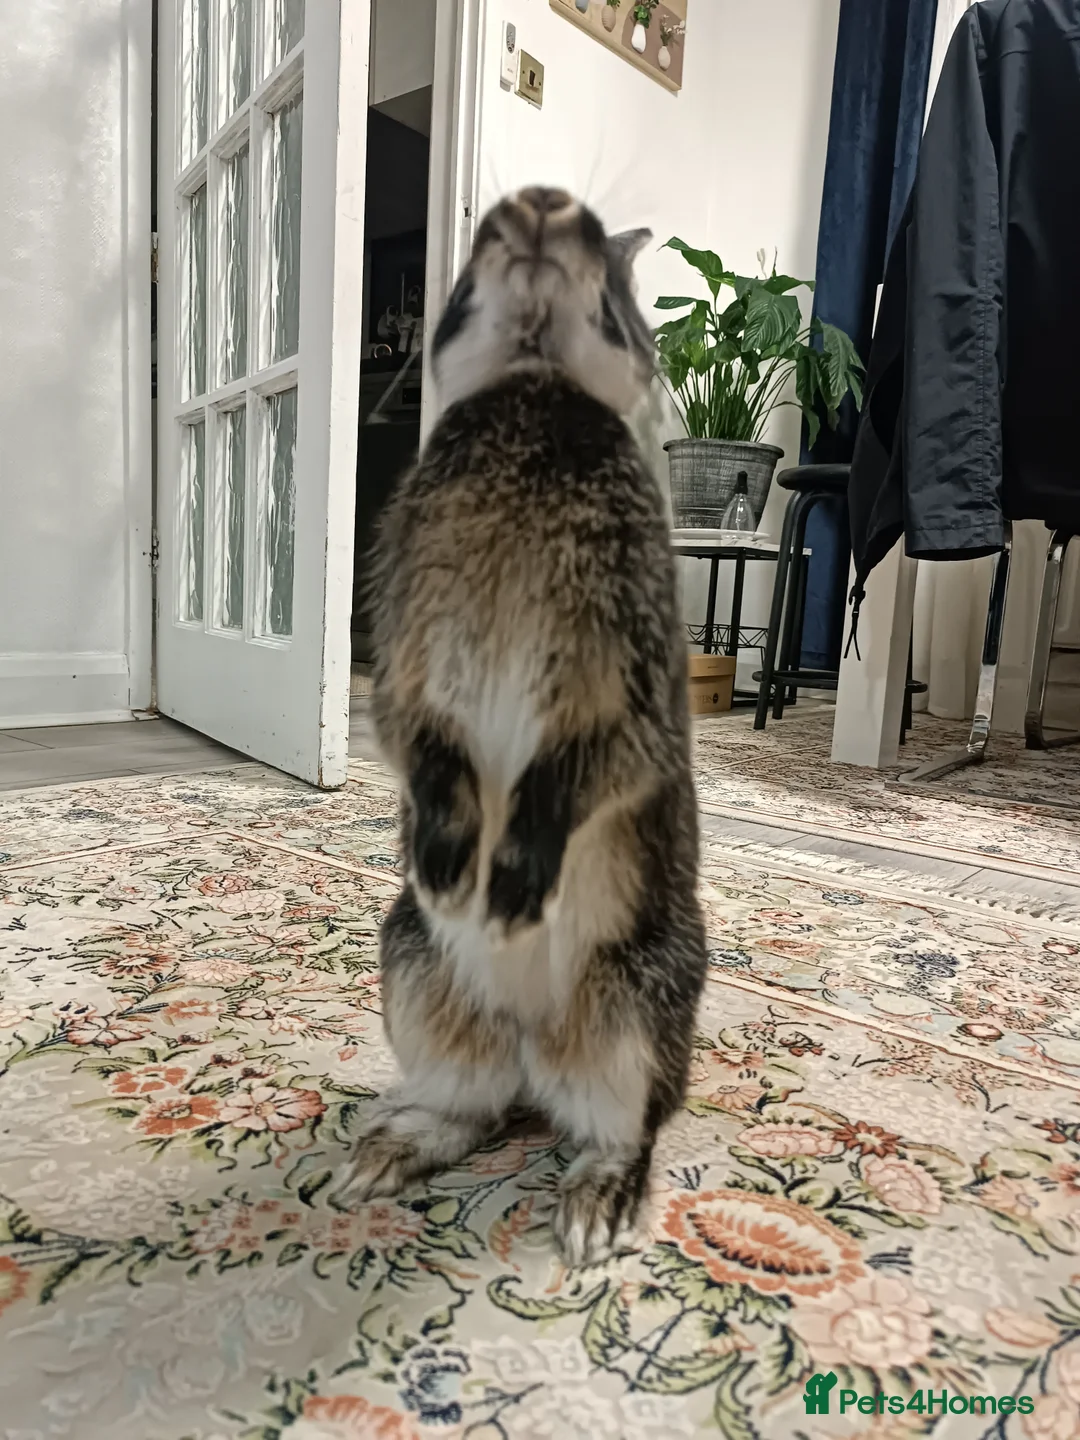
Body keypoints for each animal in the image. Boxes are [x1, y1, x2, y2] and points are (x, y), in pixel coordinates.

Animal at [331, 187, 707, 1266]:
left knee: (621, 1126)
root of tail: (539, 1047)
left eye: (608, 262)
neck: (535, 398)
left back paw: (593, 1212)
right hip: (416, 974)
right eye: (476, 250)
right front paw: (453, 866)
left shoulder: (632, 696)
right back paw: (388, 1151)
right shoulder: (407, 661)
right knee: (479, 1107)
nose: (541, 203)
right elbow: (423, 746)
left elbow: (579, 773)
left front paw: (510, 888)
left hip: (636, 1008)